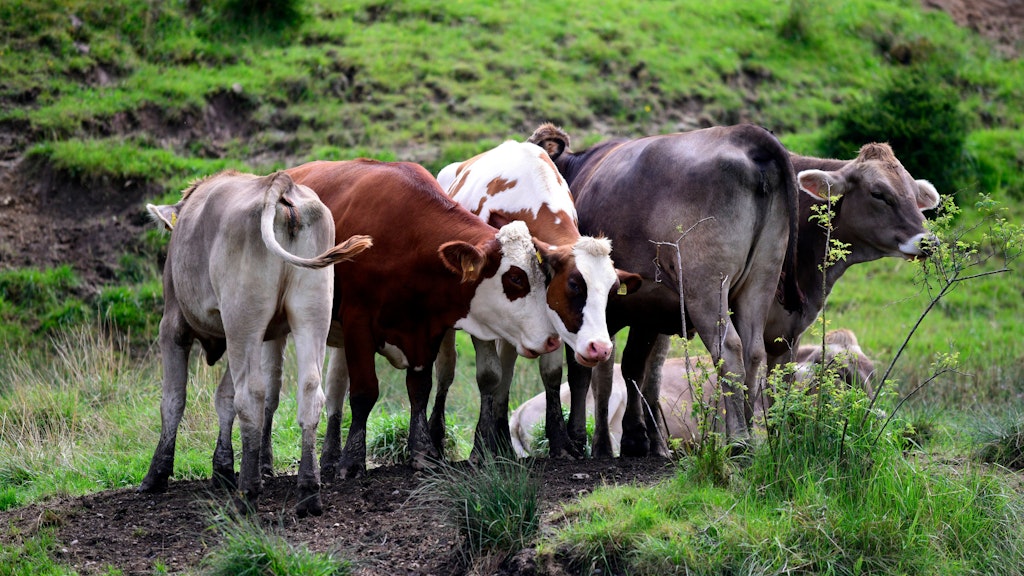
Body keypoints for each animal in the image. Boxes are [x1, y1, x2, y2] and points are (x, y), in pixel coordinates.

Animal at [138, 170, 372, 516]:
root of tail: (279, 184)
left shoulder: (174, 325)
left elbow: (174, 400)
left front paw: (157, 474)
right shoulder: (261, 335)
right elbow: (224, 396)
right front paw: (222, 468)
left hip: (242, 318)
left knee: (250, 396)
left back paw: (247, 493)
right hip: (310, 312)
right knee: (309, 393)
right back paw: (308, 492)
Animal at [282, 158, 561, 477]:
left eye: (543, 275)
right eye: (515, 278)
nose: (552, 339)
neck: (408, 242)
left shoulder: (427, 329)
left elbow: (420, 389)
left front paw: (423, 451)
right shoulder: (358, 322)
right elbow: (365, 391)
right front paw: (353, 460)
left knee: (335, 386)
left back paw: (328, 456)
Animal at [425, 139, 634, 457]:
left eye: (612, 290)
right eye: (575, 285)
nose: (600, 349)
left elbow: (550, 373)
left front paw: (559, 442)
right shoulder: (481, 316)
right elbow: (489, 375)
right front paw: (479, 449)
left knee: (507, 367)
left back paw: (502, 440)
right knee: (447, 369)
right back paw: (439, 439)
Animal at [528, 121, 806, 457]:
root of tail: (744, 133)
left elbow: (585, 371)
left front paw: (580, 439)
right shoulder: (648, 308)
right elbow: (633, 367)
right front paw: (636, 439)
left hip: (706, 285)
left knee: (729, 349)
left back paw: (738, 439)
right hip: (761, 278)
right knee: (753, 353)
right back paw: (750, 433)